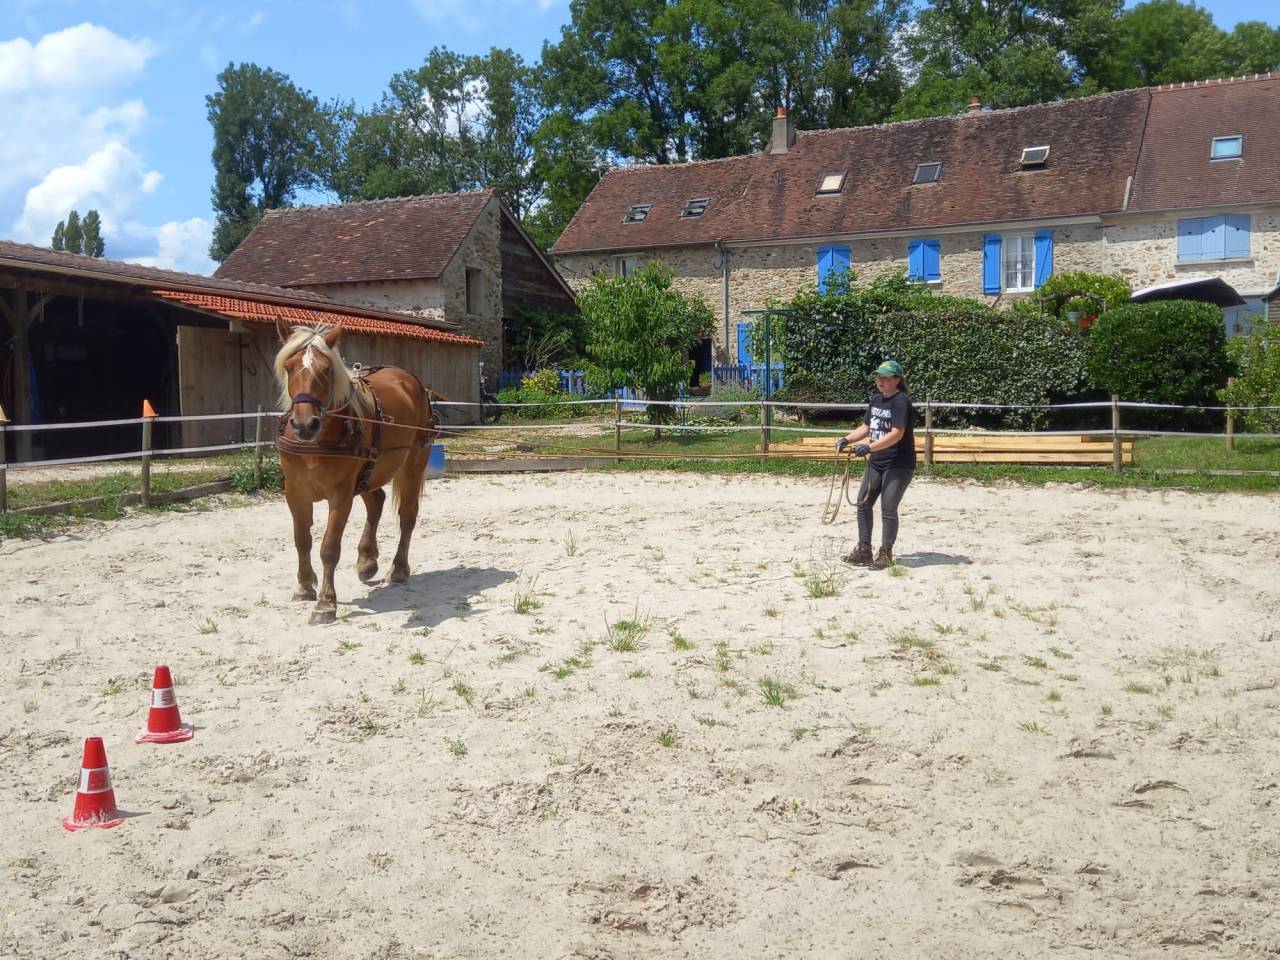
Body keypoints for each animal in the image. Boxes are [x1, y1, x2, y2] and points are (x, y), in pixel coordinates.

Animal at [272, 320, 438, 624]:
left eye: (327, 369)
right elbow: (302, 539)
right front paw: (304, 586)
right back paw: (366, 560)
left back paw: (398, 569)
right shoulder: (295, 492)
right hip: (370, 471)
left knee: (407, 517)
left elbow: (329, 547)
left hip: (412, 464)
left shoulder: (341, 495)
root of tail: (410, 381)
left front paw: (326, 603)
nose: (305, 425)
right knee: (377, 501)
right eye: (289, 367)